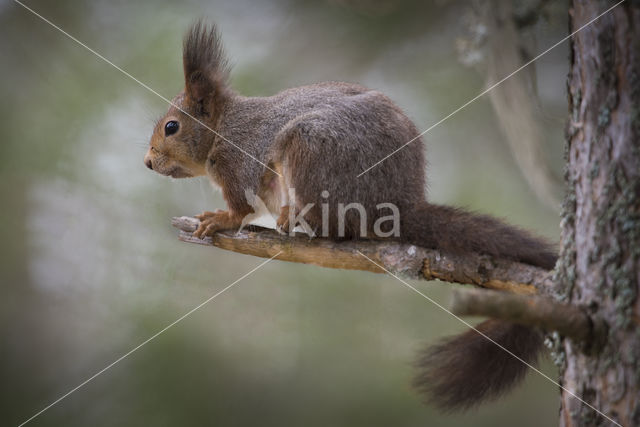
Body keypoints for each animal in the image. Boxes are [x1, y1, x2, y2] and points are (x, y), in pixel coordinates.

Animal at [144, 22, 556, 412]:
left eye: (171, 127)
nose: (147, 162)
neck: (222, 128)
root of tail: (398, 202)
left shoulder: (238, 159)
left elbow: (242, 208)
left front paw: (220, 218)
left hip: (312, 149)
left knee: (333, 225)